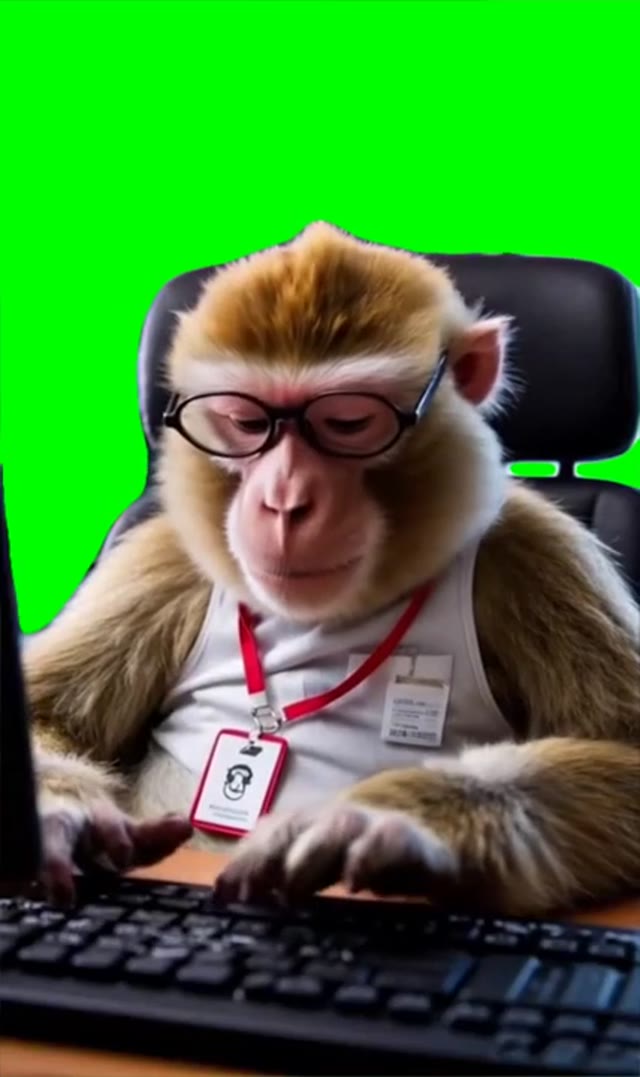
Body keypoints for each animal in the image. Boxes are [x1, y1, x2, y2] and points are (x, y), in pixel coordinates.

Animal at [21, 221, 640, 916]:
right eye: (245, 421)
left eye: (348, 422)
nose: (284, 502)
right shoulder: (167, 562)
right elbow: (49, 717)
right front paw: (64, 818)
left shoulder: (537, 555)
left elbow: (625, 747)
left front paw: (398, 819)